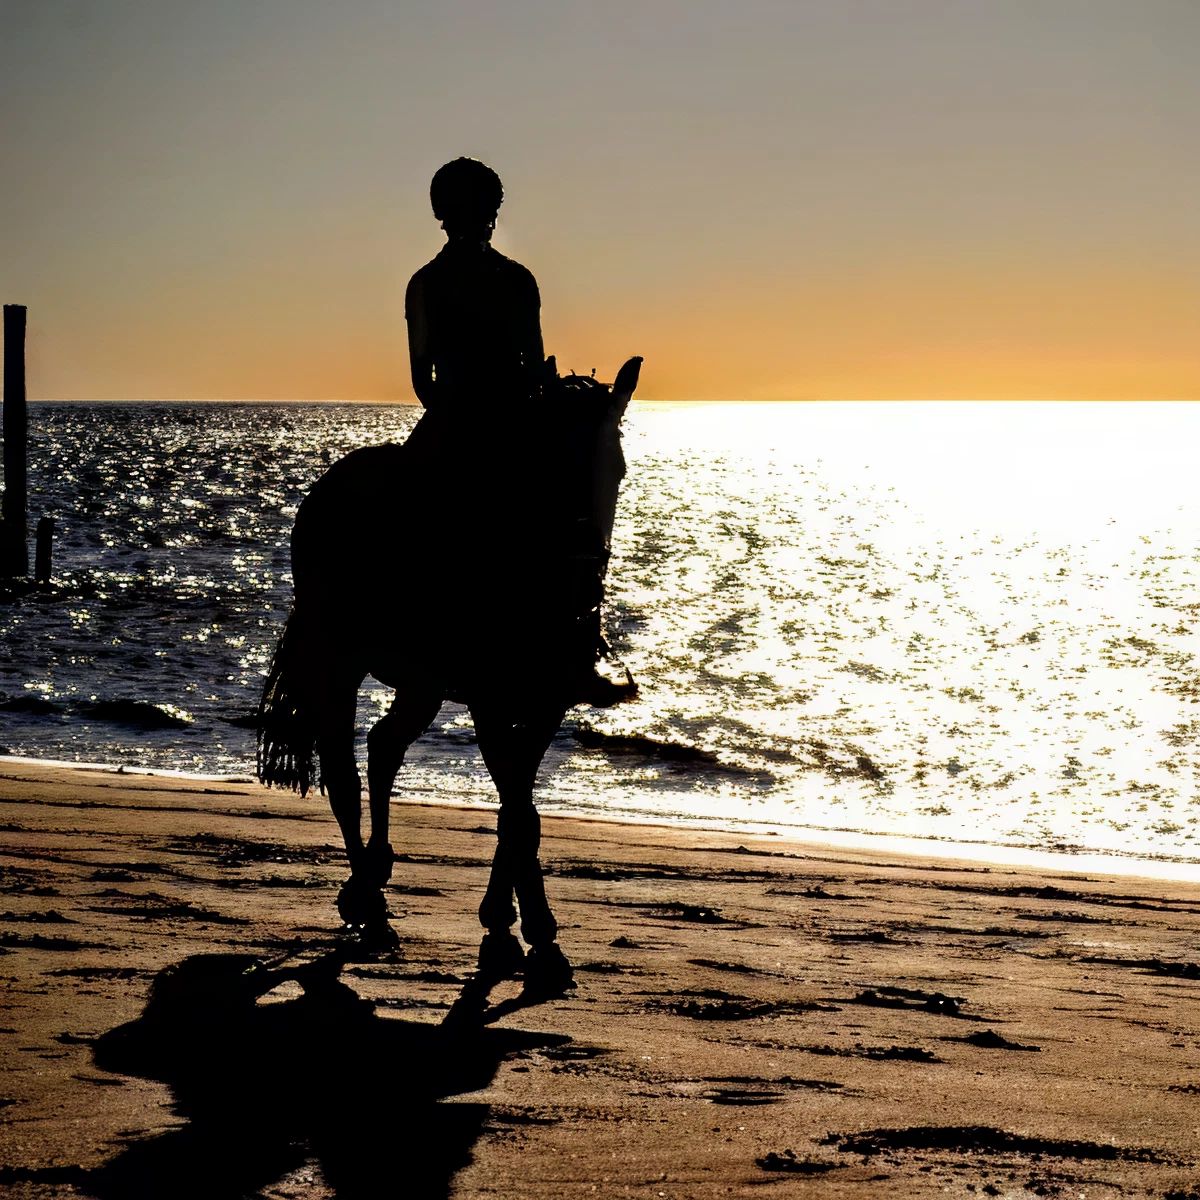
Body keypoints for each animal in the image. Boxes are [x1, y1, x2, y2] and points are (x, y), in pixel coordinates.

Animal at [256, 357, 642, 996]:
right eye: (547, 465)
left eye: (617, 468)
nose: (582, 589)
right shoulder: (489, 700)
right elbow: (519, 811)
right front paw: (530, 933)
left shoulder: (545, 702)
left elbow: (519, 809)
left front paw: (513, 928)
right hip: (338, 659)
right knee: (343, 775)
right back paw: (370, 906)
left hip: (423, 683)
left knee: (383, 745)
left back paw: (373, 879)